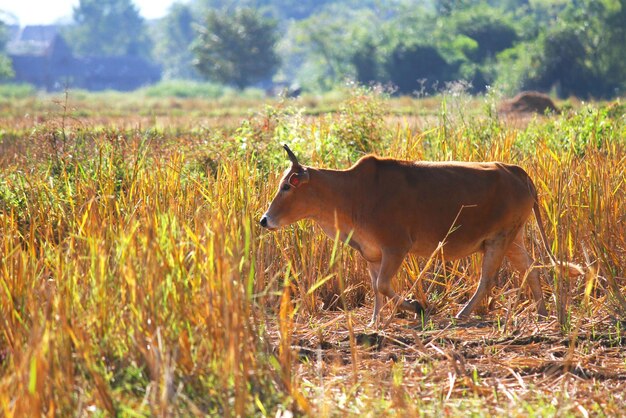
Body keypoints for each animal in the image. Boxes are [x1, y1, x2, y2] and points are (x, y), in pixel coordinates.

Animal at [258, 145, 580, 324]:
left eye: (287, 186)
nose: (264, 220)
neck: (353, 194)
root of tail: (515, 170)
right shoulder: (372, 254)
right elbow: (376, 288)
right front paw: (375, 321)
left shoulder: (396, 247)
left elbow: (383, 285)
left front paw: (417, 308)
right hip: (512, 238)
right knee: (531, 269)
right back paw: (542, 312)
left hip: (499, 239)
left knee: (488, 279)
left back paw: (463, 314)